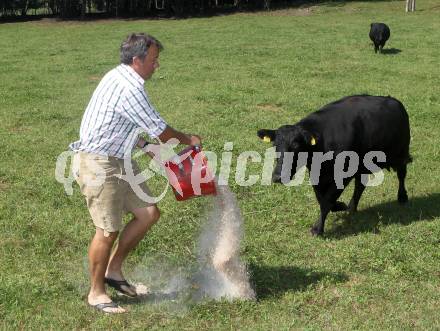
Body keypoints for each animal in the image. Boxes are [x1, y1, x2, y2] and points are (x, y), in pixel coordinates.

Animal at [258, 94, 412, 237]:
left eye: (296, 147)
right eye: (275, 145)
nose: (277, 177)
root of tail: (394, 101)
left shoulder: (344, 173)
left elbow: (327, 200)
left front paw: (317, 229)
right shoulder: (317, 174)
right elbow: (321, 198)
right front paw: (339, 205)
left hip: (402, 152)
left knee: (401, 174)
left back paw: (402, 197)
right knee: (360, 185)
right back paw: (351, 208)